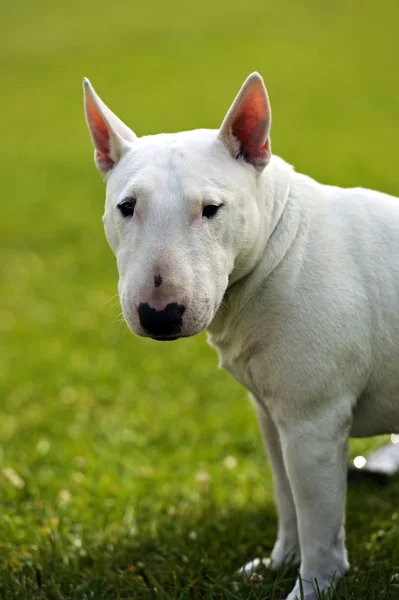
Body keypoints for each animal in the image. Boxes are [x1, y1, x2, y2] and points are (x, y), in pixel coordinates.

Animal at [83, 72, 398, 596]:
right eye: (126, 207)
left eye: (212, 209)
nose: (160, 316)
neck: (281, 246)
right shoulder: (274, 418)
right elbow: (287, 499)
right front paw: (277, 564)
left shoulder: (314, 424)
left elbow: (318, 523)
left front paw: (313, 586)